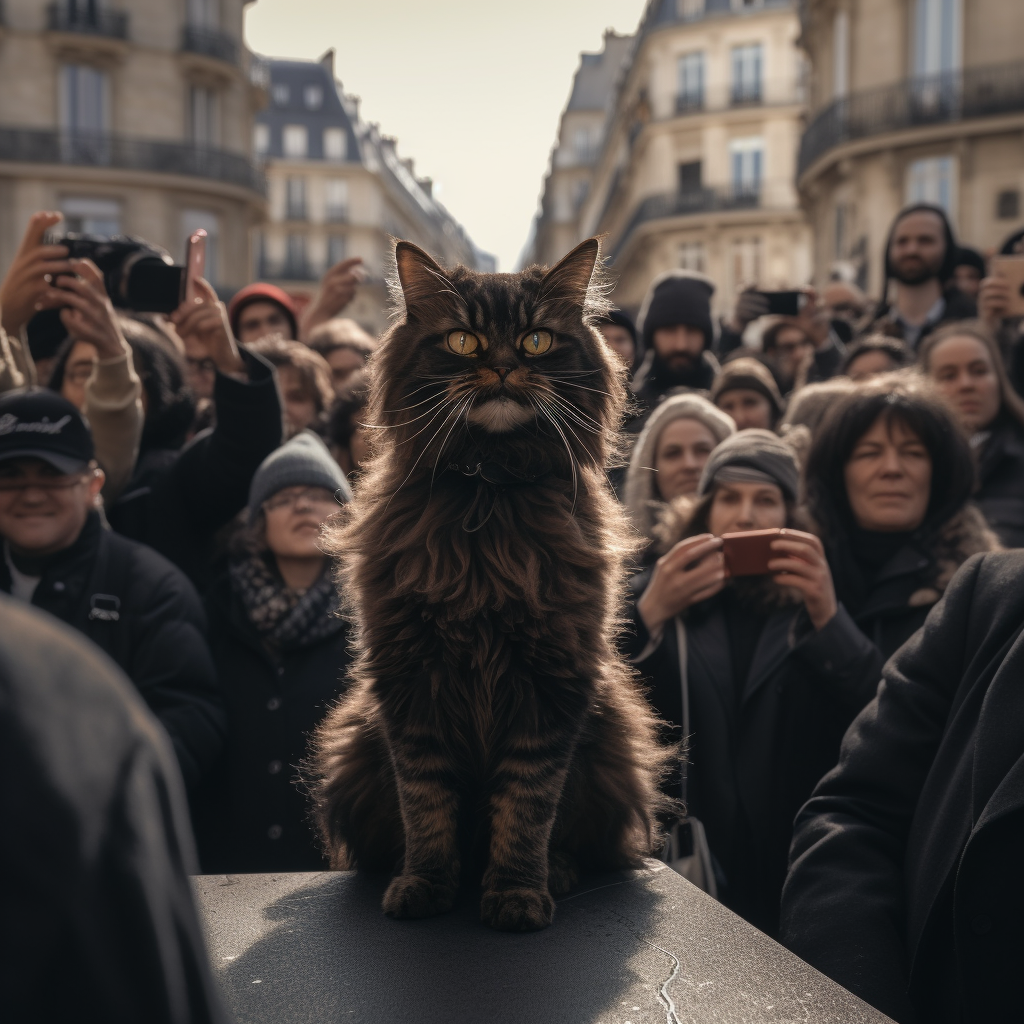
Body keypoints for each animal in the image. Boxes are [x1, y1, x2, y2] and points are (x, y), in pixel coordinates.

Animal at [309, 237, 671, 929]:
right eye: (463, 341)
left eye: (535, 340)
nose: (503, 367)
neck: (490, 494)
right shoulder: (411, 680)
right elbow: (426, 803)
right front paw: (424, 886)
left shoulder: (551, 680)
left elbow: (527, 804)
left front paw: (516, 894)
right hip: (358, 741)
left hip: (610, 728)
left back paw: (557, 872)